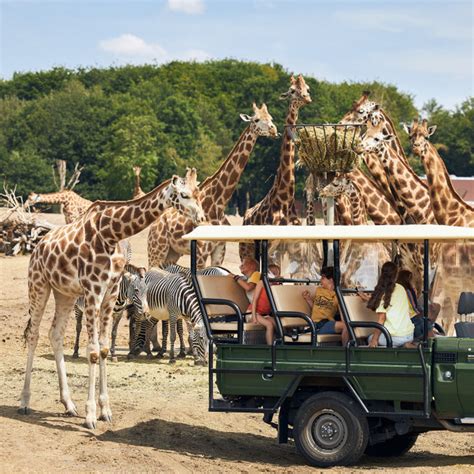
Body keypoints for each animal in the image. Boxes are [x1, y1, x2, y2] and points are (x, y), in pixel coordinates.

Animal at [19, 170, 205, 430]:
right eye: (184, 195)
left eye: (198, 193)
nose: (201, 216)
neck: (112, 232)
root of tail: (38, 246)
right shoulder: (93, 291)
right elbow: (93, 351)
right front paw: (90, 416)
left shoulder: (110, 294)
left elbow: (105, 349)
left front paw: (105, 411)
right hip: (38, 285)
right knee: (33, 334)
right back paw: (25, 402)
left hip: (65, 293)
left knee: (55, 334)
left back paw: (69, 404)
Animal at [148, 102, 278, 268]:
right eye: (256, 120)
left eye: (270, 118)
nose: (274, 130)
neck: (218, 203)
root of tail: (154, 224)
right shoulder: (201, 251)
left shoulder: (219, 249)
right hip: (157, 249)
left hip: (172, 253)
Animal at [239, 75, 312, 260]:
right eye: (292, 90)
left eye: (307, 88)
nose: (307, 98)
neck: (284, 200)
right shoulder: (271, 247)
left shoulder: (294, 249)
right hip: (246, 250)